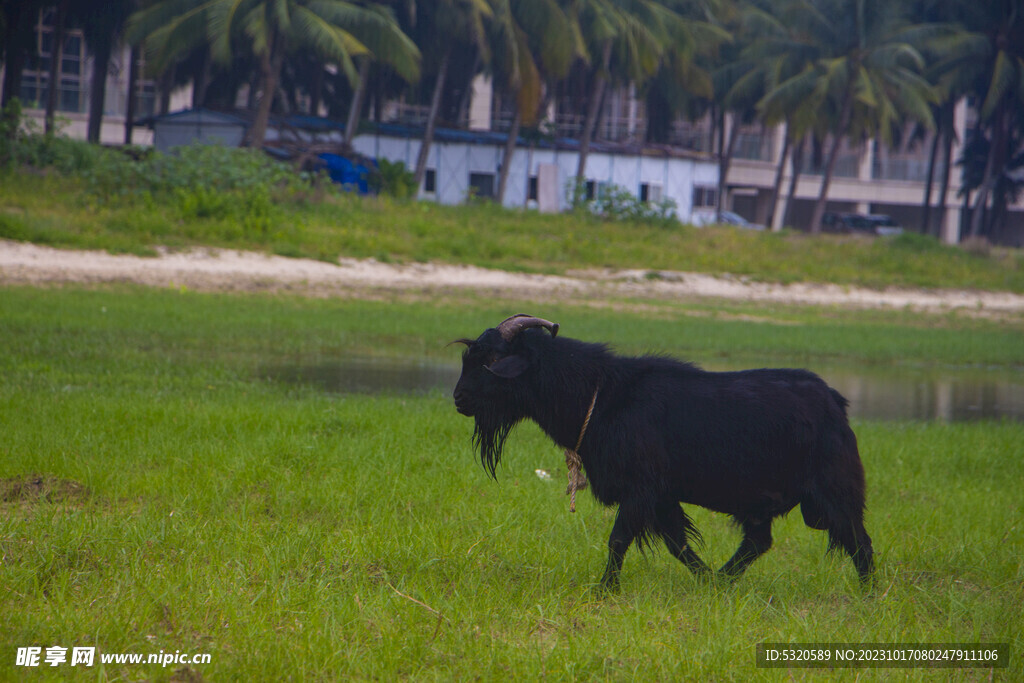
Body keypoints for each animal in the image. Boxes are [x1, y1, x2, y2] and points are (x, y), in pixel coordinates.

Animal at [452, 315, 876, 589]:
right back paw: (724, 580)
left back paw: (869, 594)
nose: (458, 398)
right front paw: (705, 581)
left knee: (859, 541)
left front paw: (605, 588)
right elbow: (678, 543)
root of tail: (835, 401)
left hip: (836, 488)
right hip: (766, 502)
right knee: (759, 541)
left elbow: (618, 539)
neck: (602, 395)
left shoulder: (641, 488)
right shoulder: (662, 496)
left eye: (492, 360)